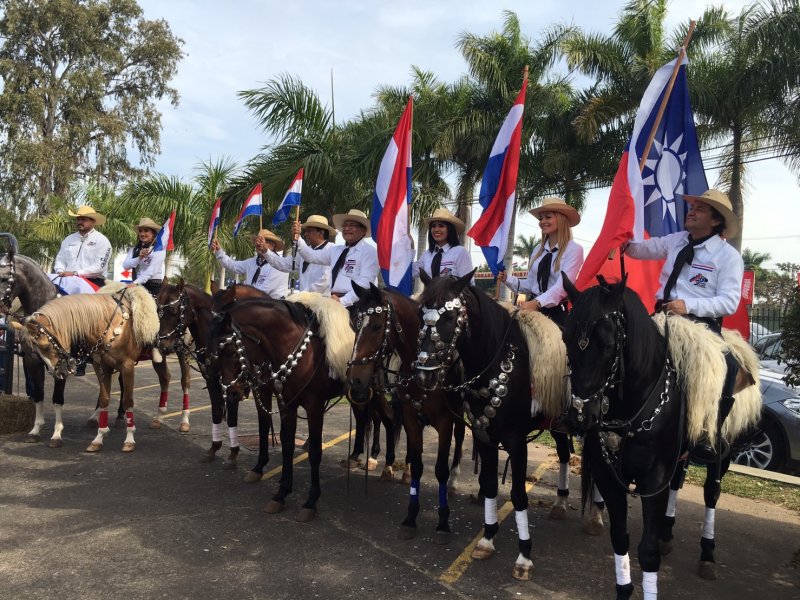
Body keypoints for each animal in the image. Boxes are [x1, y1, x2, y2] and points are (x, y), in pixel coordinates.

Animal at [20, 286, 160, 450]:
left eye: (46, 346)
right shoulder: (104, 365)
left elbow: (128, 400)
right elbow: (105, 398)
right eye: (36, 349)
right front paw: (98, 438)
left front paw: (129, 439)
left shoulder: (127, 365)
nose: (59, 373)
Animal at [208, 292, 352, 520]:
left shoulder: (314, 406)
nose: (231, 392)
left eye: (230, 349)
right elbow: (286, 444)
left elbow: (315, 451)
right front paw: (281, 493)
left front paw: (310, 502)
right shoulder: (286, 404)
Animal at [346, 284, 466, 548]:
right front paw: (411, 518)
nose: (355, 379)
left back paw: (455, 482)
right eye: (355, 324)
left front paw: (443, 522)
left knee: (461, 440)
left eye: (376, 326)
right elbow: (418, 463)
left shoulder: (445, 422)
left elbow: (440, 469)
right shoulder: (411, 417)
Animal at [412, 272, 568, 580]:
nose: (424, 376)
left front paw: (524, 555)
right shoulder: (484, 436)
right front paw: (487, 539)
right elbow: (491, 484)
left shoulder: (517, 442)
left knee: (568, 455)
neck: (498, 361)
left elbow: (519, 495)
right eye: (421, 313)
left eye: (450, 317)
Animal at [560, 274, 760, 596]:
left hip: (723, 452)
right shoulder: (609, 475)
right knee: (678, 482)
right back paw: (668, 533)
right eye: (566, 339)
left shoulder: (653, 481)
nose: (580, 415)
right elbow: (620, 538)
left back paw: (707, 554)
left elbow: (648, 552)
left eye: (607, 344)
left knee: (711, 493)